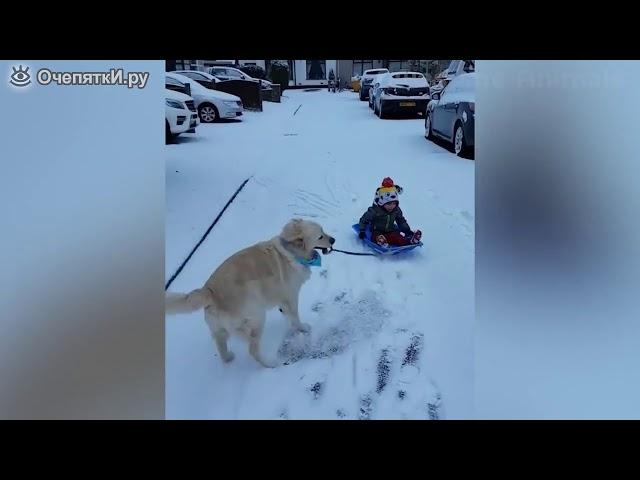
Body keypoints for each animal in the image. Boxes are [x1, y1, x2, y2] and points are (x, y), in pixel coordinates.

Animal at [165, 220, 336, 368]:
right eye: (320, 236)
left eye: (323, 231)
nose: (333, 240)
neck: (291, 251)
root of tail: (209, 291)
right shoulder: (290, 296)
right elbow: (295, 316)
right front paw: (302, 328)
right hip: (257, 315)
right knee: (252, 349)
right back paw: (269, 364)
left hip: (219, 328)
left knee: (220, 344)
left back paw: (228, 358)